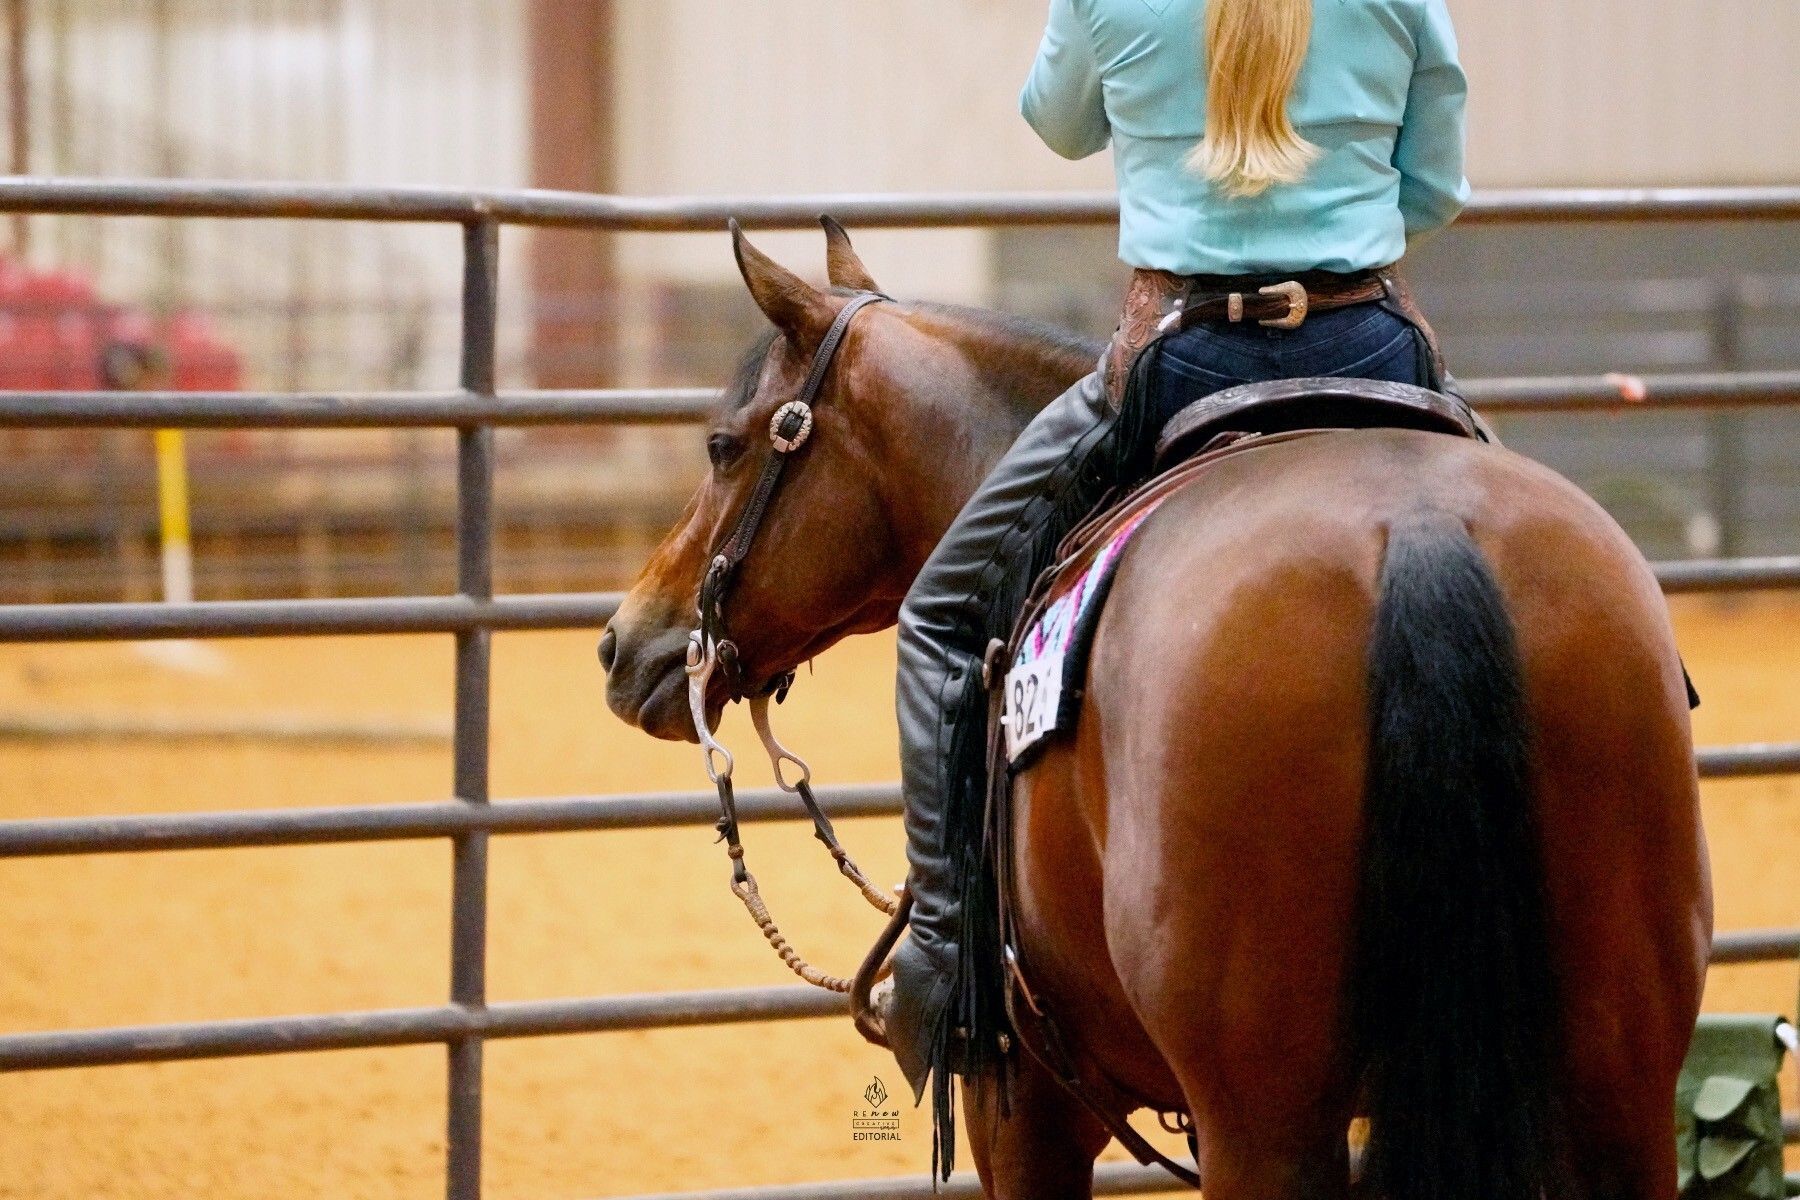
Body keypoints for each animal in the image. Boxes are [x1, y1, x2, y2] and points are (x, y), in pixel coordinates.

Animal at [599, 221, 1712, 1200]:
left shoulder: (1026, 1112)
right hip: (1620, 1082)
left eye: (723, 445)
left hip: (1264, 1118)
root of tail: (1421, 529)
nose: (623, 642)